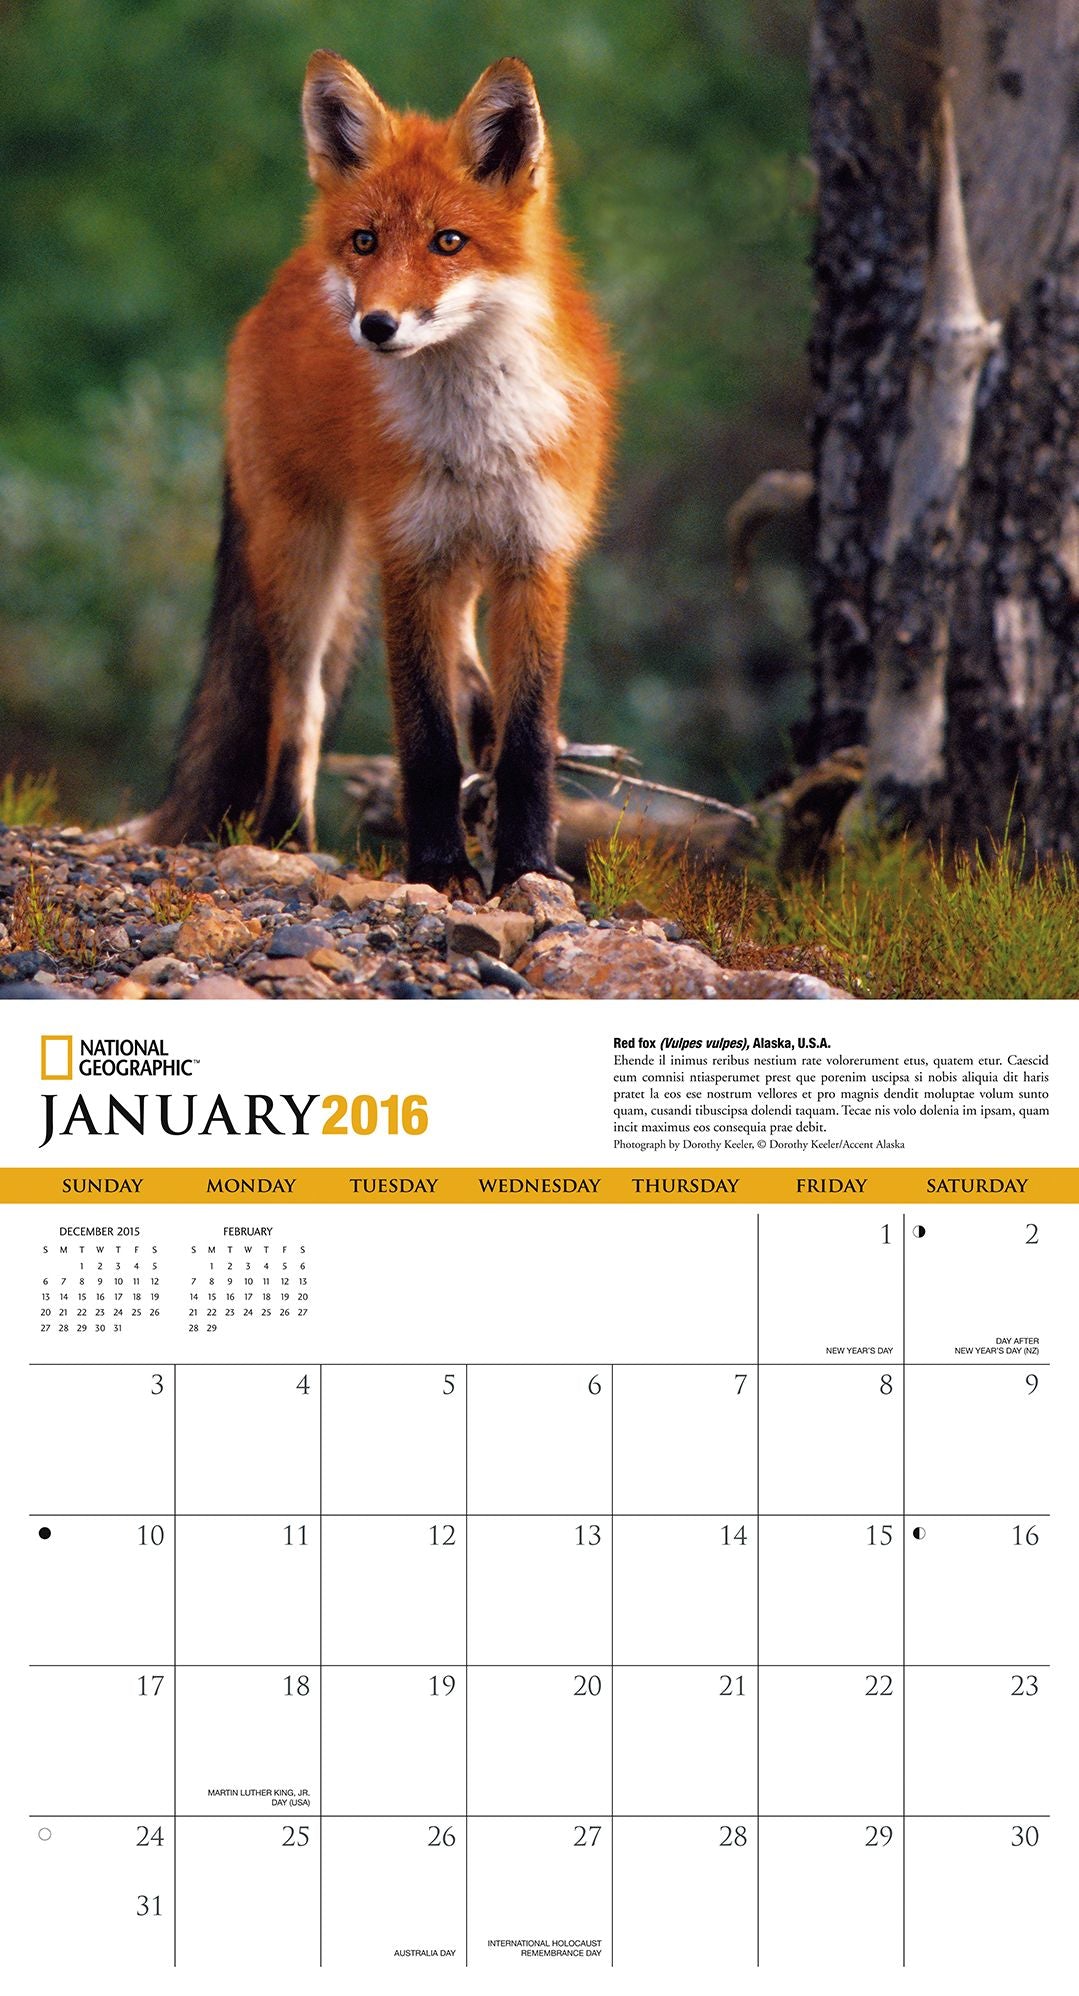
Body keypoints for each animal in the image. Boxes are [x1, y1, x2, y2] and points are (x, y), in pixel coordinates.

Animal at [144, 51, 617, 896]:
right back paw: (285, 834)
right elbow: (423, 742)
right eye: (365, 241)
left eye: (449, 241)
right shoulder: (410, 562)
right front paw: (438, 868)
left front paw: (527, 865)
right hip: (303, 557)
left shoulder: (535, 557)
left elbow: (529, 740)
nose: (375, 325)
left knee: (468, 671)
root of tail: (281, 281)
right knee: (296, 707)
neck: (476, 439)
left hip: (446, 559)